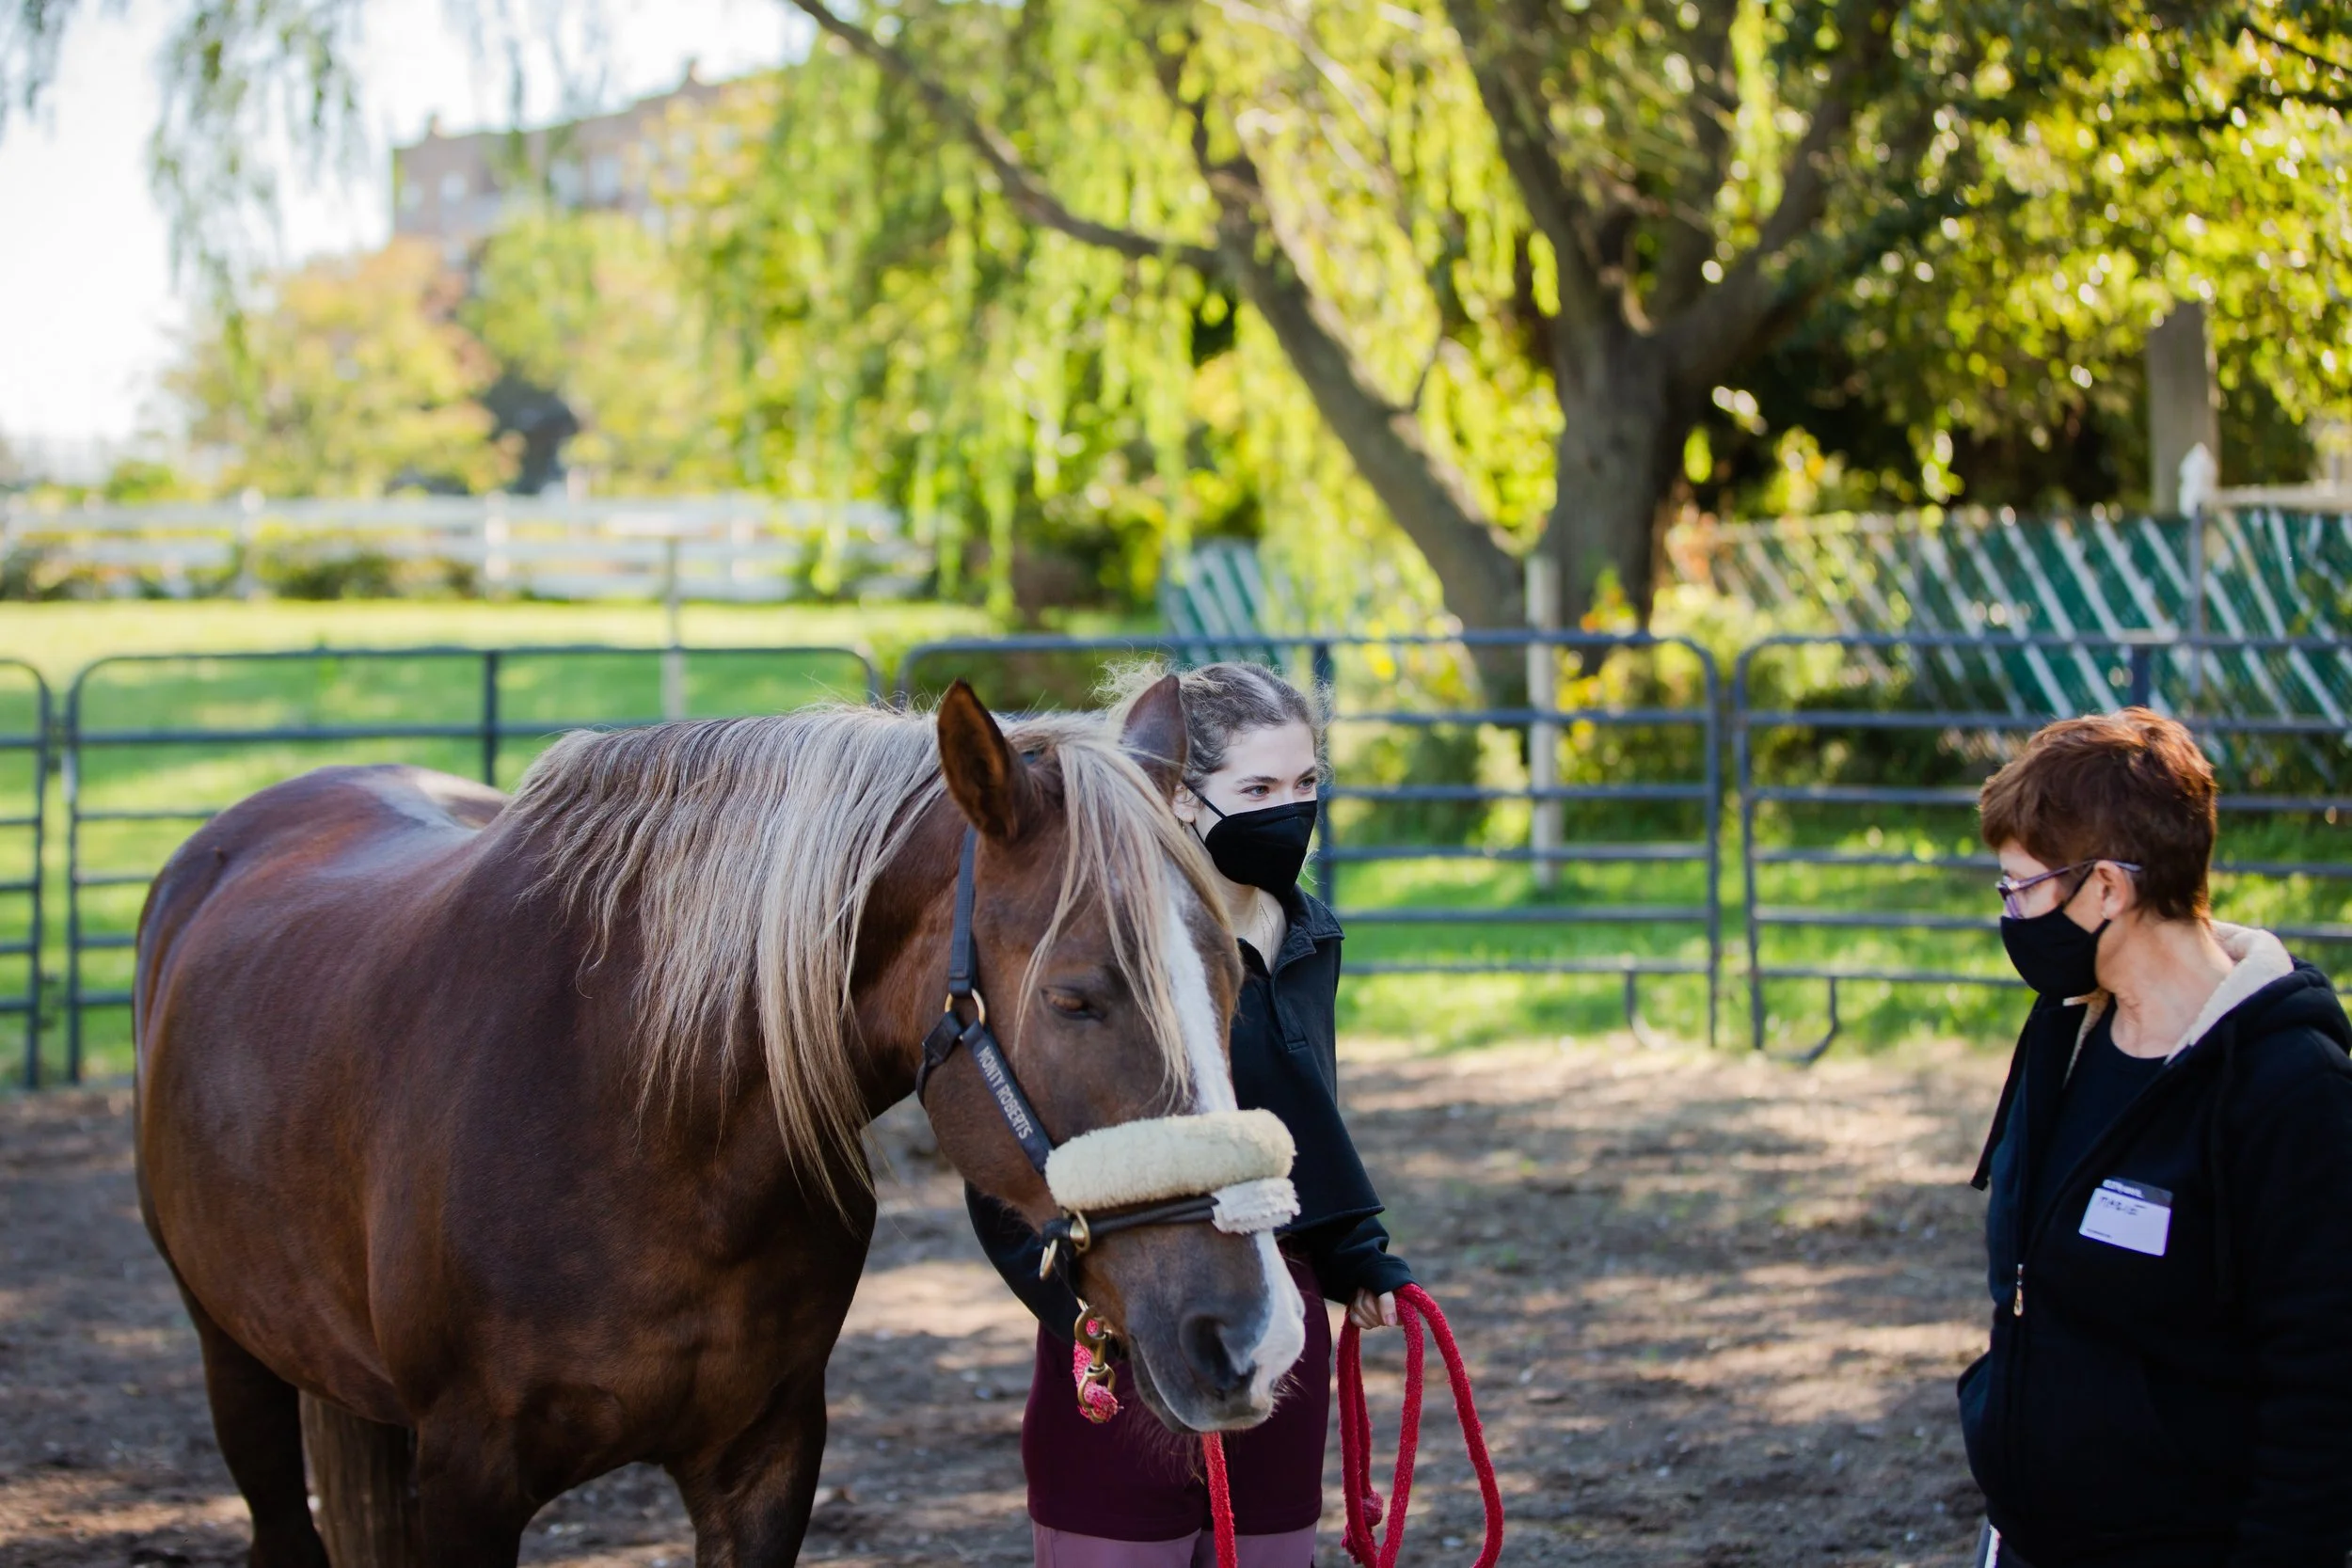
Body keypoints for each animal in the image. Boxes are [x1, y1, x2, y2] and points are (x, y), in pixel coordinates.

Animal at [132, 677, 1308, 1568]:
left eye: (1230, 978)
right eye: (1074, 996)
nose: (1257, 1336)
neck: (647, 1123)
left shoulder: (765, 1457)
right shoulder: (465, 1477)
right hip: (232, 1354)